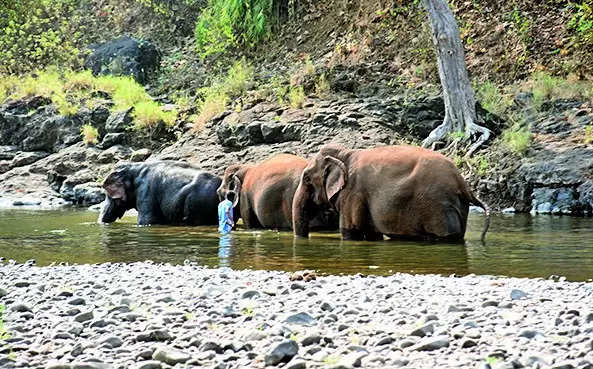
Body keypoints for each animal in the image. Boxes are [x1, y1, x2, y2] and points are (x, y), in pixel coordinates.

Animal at [292, 144, 490, 242]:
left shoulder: (352, 194)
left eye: (307, 179)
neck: (345, 152)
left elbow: (351, 231)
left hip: (438, 207)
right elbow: (372, 234)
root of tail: (464, 185)